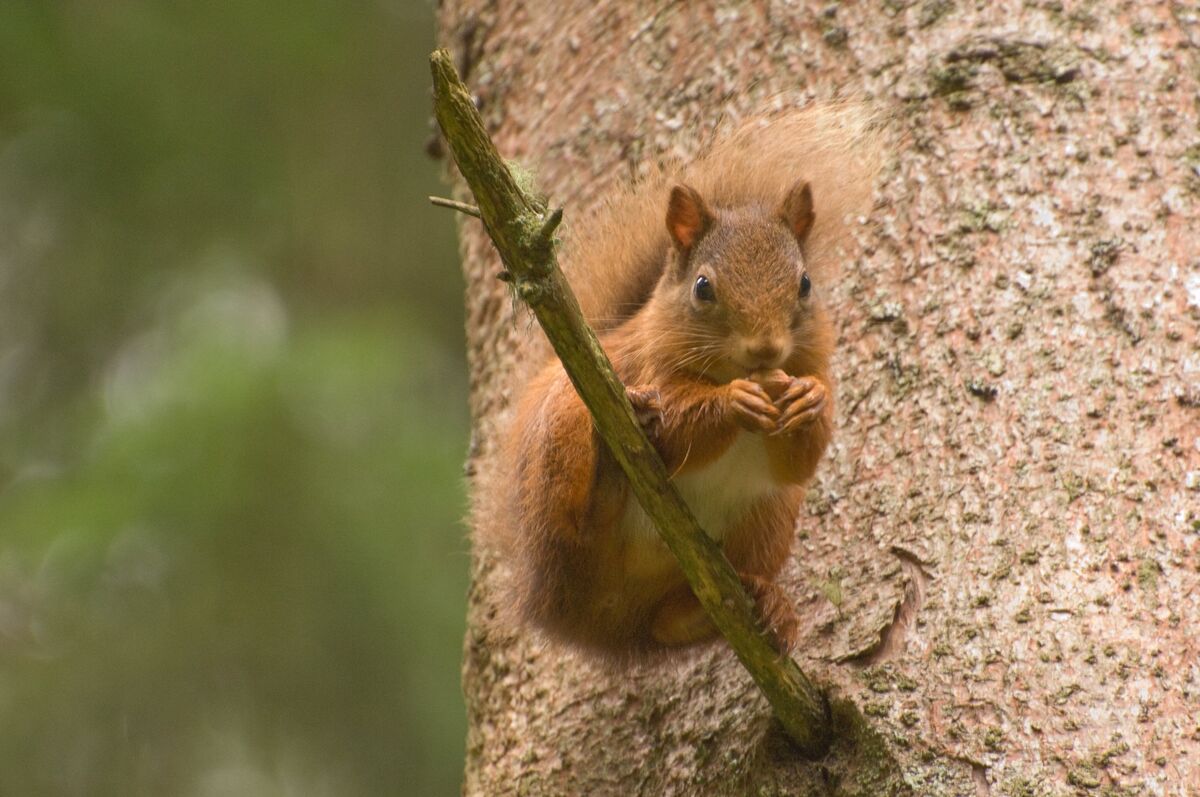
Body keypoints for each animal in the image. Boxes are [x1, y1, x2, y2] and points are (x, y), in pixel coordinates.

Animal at [484, 104, 882, 658]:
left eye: (804, 284)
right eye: (703, 287)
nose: (766, 349)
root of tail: (595, 619)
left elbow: (800, 462)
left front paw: (810, 401)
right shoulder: (646, 371)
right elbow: (675, 427)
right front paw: (733, 401)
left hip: (768, 518)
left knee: (669, 623)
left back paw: (754, 605)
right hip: (562, 438)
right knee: (576, 527)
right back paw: (606, 478)